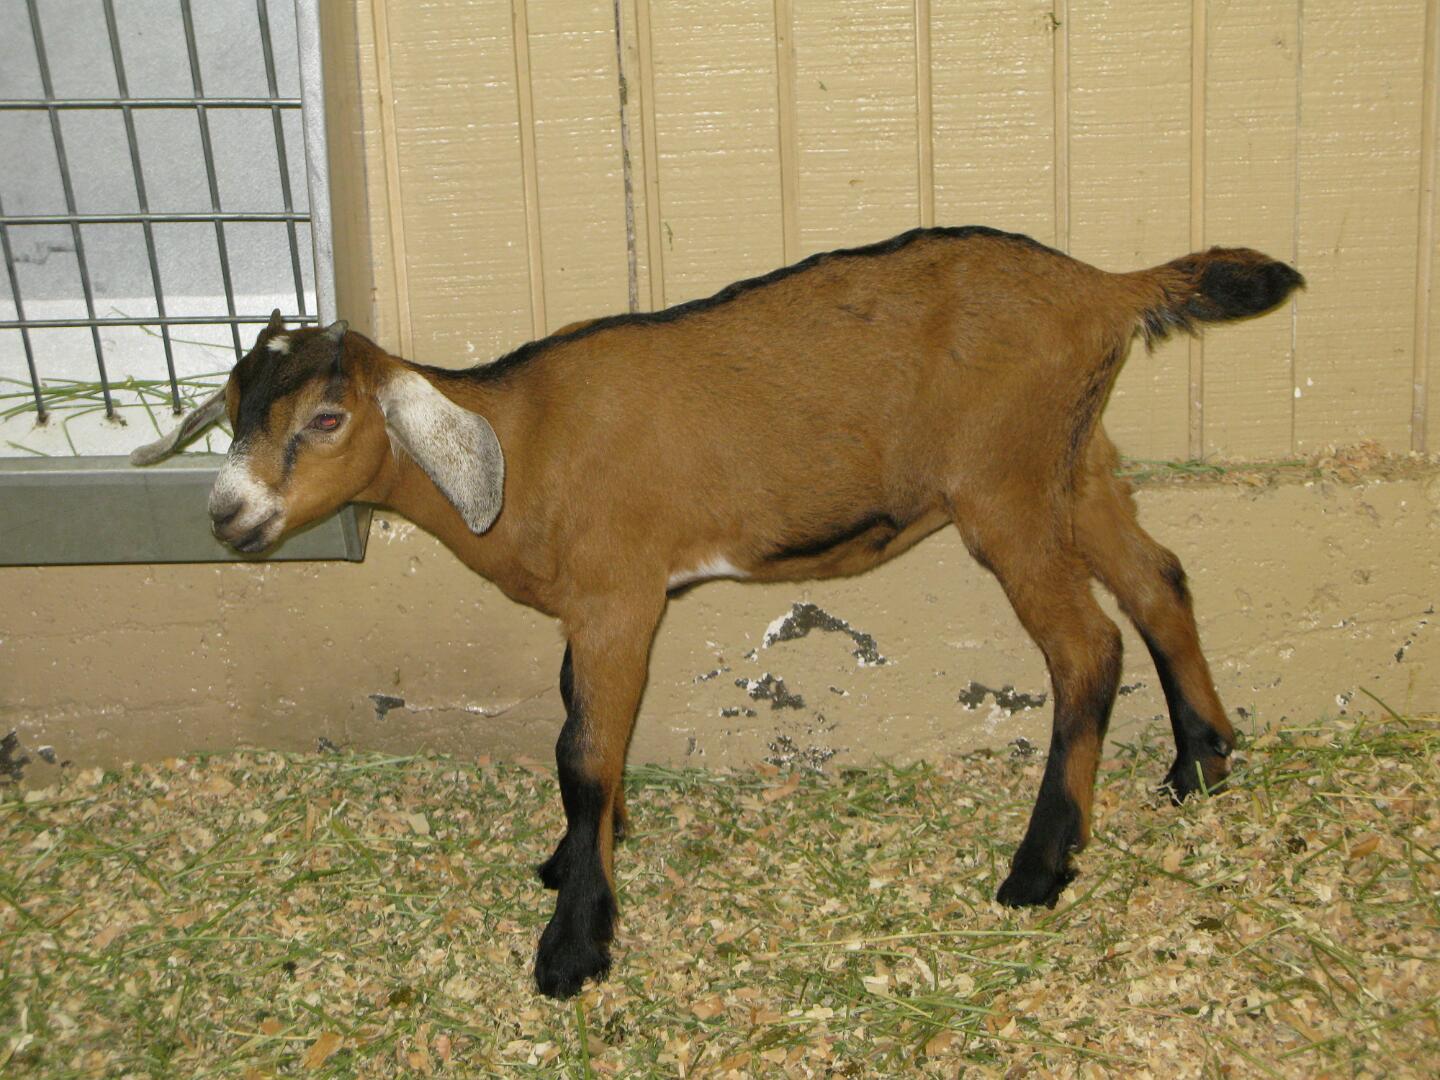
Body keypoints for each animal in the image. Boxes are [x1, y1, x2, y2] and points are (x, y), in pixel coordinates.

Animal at [132, 225, 1303, 999]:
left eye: (328, 418)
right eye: (232, 411)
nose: (229, 515)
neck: (523, 443)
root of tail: (1105, 288)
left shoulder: (619, 593)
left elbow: (584, 753)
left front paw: (575, 944)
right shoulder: (591, 610)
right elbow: (581, 728)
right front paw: (576, 861)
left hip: (1005, 485)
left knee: (1085, 646)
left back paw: (1038, 867)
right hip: (1075, 461)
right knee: (1158, 579)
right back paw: (1199, 763)